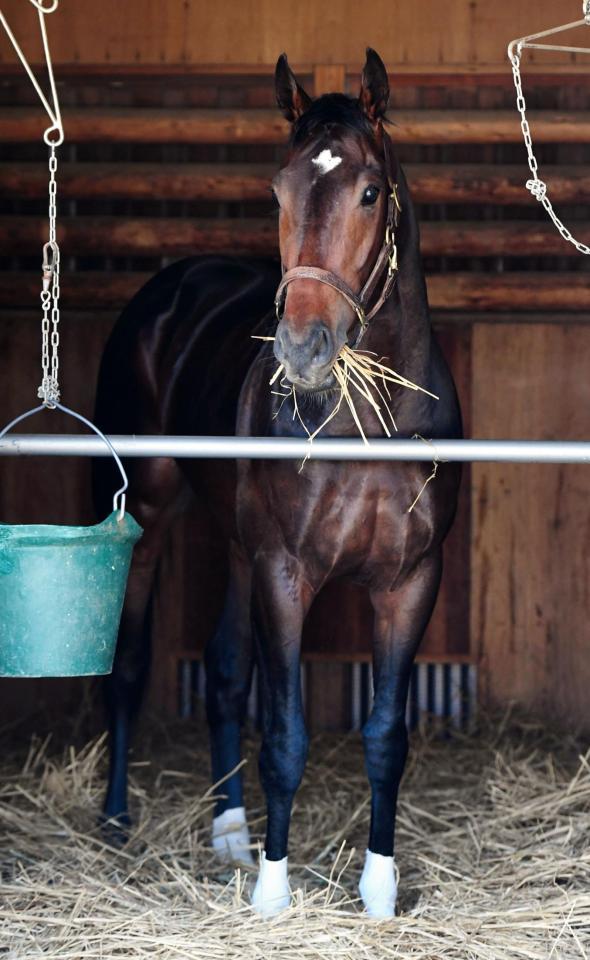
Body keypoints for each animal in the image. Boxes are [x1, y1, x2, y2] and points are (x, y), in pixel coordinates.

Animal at [92, 48, 462, 920]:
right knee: (130, 666)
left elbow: (386, 737)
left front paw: (379, 889)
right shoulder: (286, 573)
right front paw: (272, 889)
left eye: (370, 192)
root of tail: (174, 288)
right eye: (276, 191)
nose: (302, 348)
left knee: (225, 672)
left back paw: (228, 830)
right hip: (149, 514)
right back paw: (118, 818)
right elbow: (287, 735)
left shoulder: (410, 581)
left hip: (235, 546)